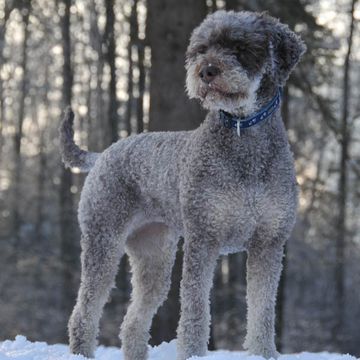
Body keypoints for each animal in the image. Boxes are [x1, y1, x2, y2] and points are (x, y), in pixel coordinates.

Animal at [59, 10, 306, 360]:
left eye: (240, 47)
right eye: (202, 49)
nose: (206, 71)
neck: (244, 135)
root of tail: (103, 153)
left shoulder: (268, 243)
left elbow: (262, 310)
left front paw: (263, 353)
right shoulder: (203, 239)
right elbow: (195, 308)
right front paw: (192, 353)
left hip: (154, 256)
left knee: (133, 320)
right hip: (102, 242)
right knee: (84, 311)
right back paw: (81, 352)